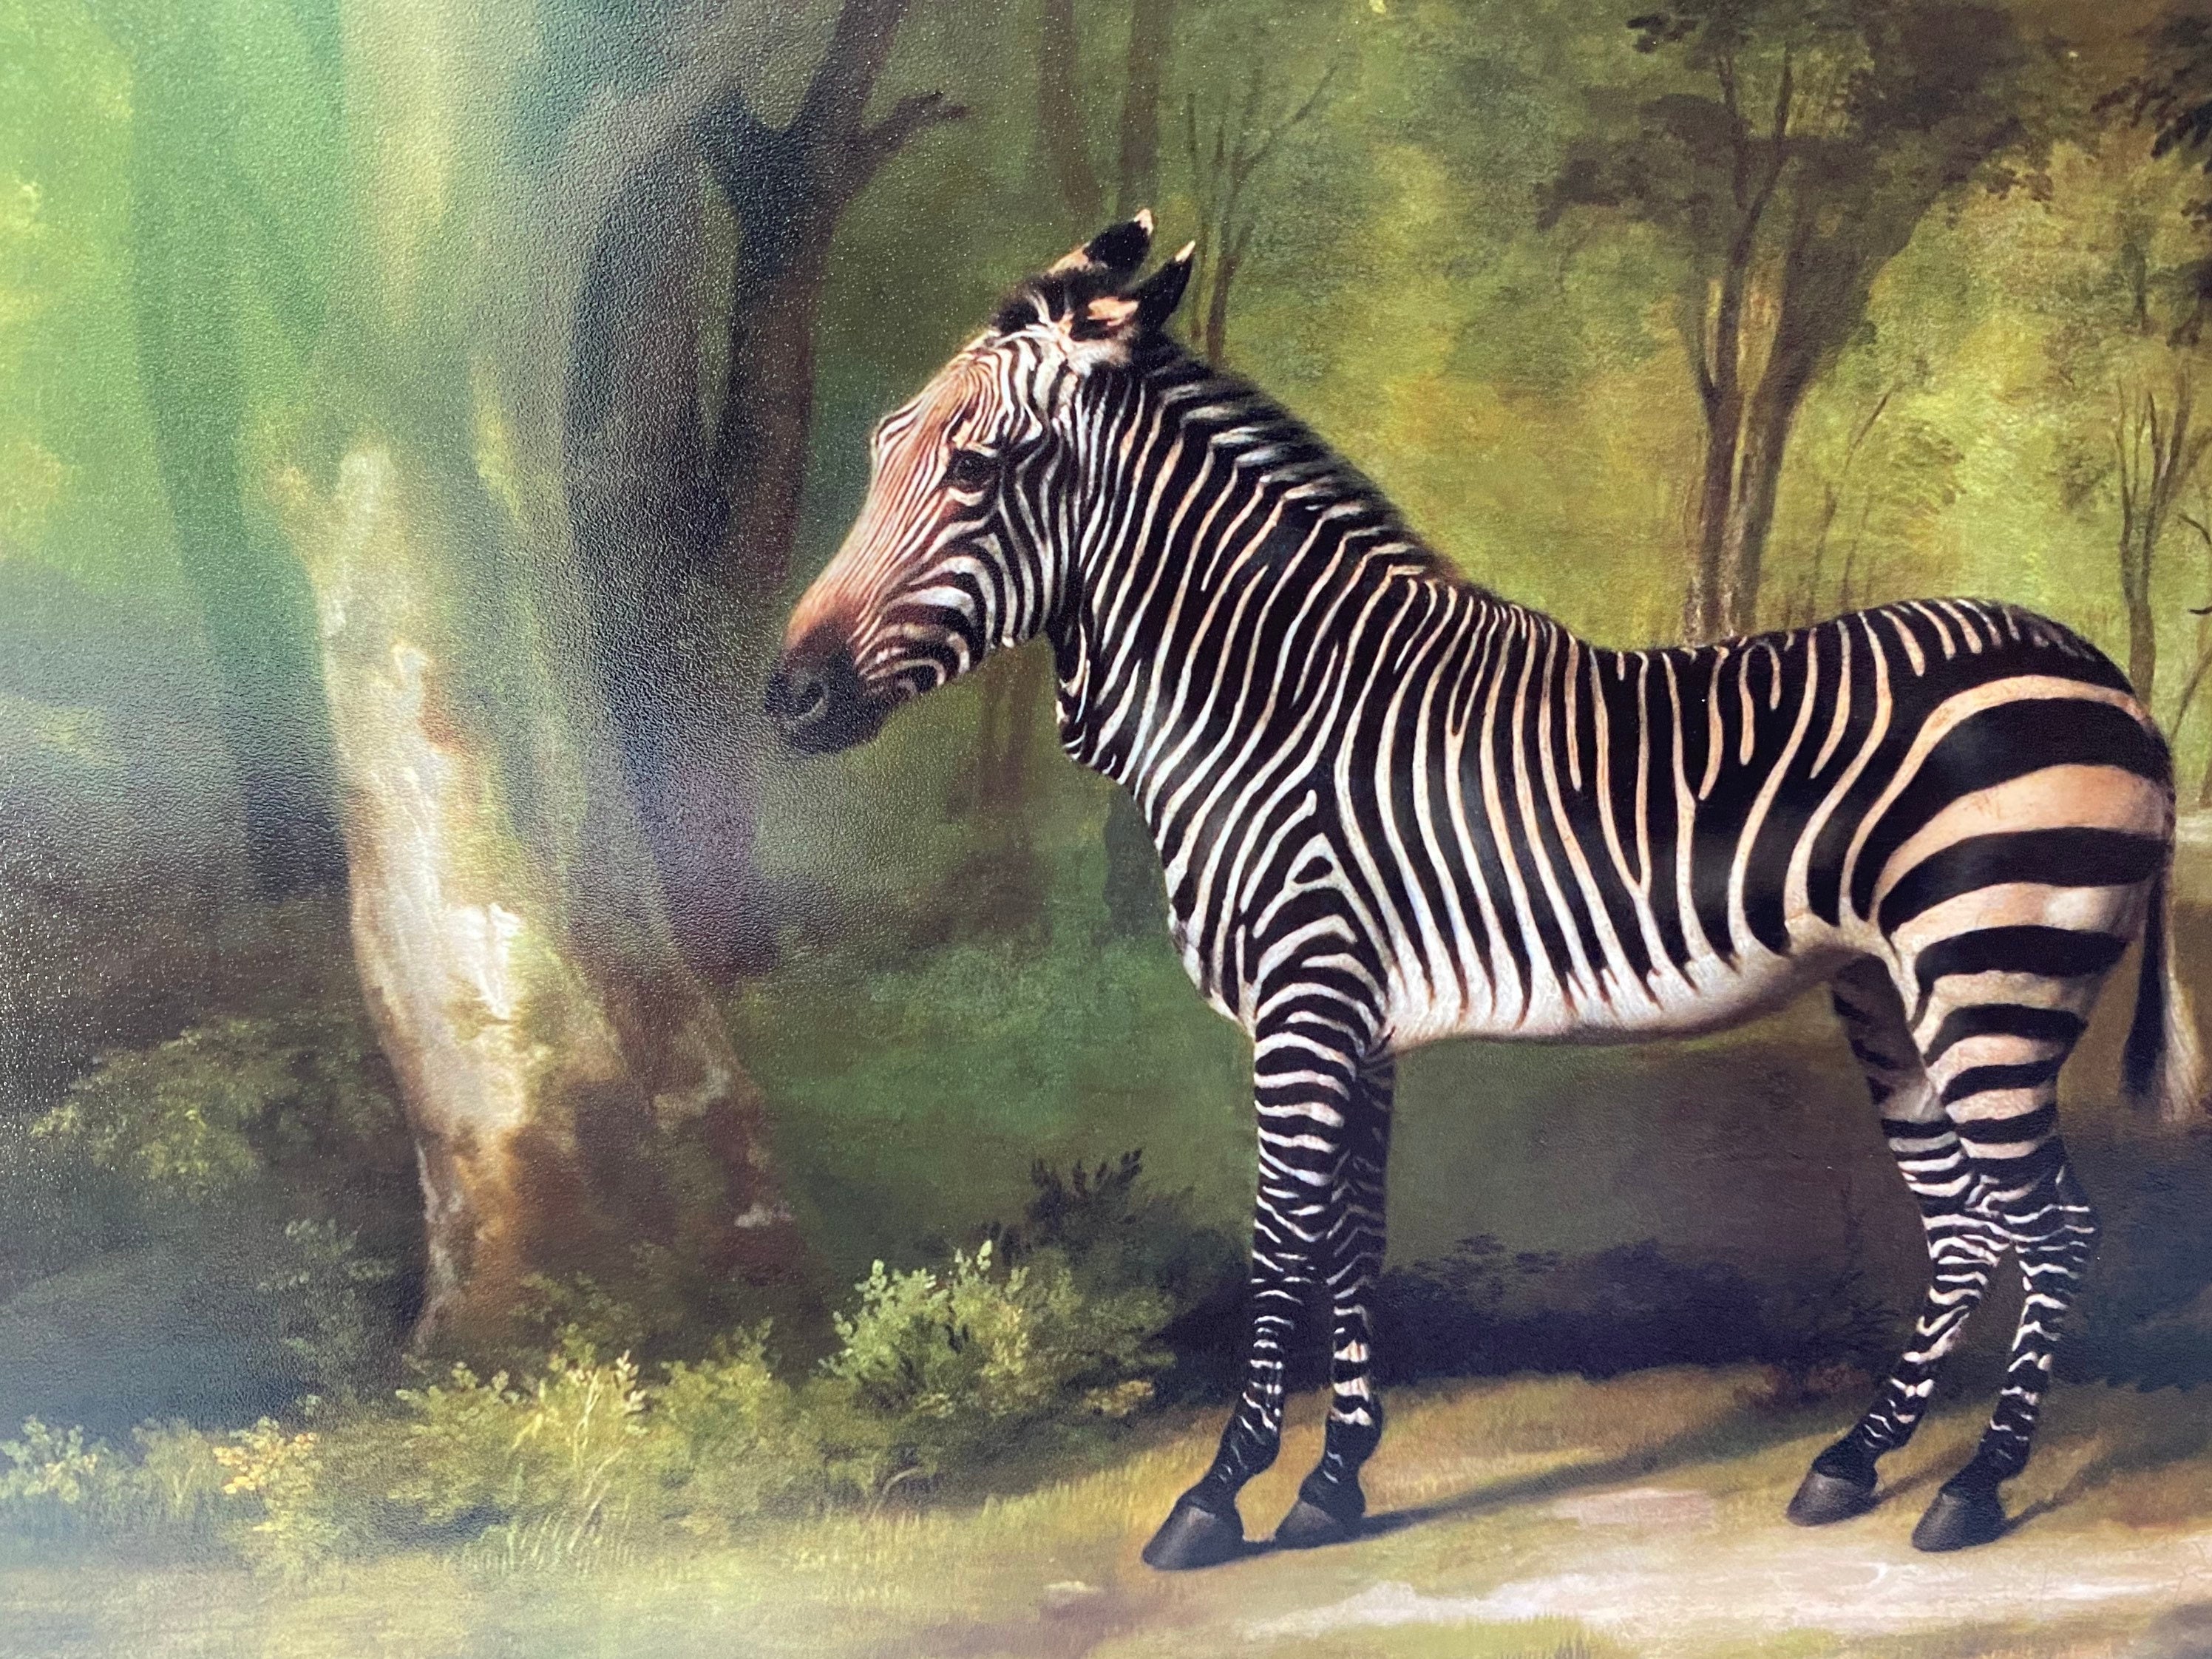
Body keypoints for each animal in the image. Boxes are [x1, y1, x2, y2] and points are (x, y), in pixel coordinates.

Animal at [767, 214, 2203, 1568]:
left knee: (2052, 1226)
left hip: (1992, 972)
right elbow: (1352, 1242)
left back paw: (1974, 1488)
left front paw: (1216, 1495)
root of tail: (2109, 676)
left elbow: (1279, 1246)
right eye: (880, 450)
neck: (1269, 700)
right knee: (1966, 1228)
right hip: (1890, 993)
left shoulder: (1302, 1004)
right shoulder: (1353, 1019)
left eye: (974, 469)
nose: (788, 697)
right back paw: (1854, 1461)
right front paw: (1331, 1487)